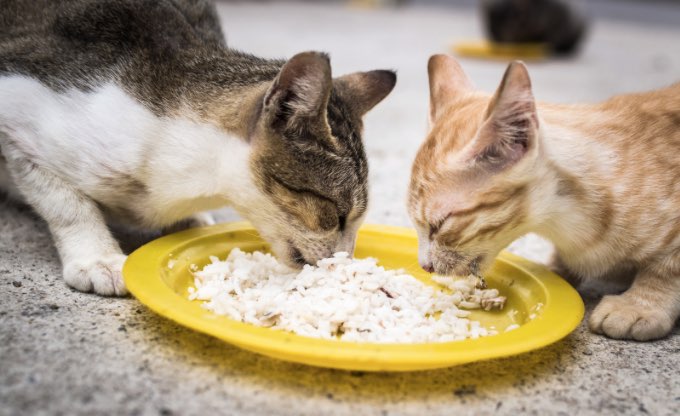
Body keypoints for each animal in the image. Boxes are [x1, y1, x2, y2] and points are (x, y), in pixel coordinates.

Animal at [0, 1, 396, 298]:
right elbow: (66, 202)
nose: (346, 260)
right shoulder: (17, 113)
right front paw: (97, 257)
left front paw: (187, 221)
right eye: (334, 213)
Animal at [410, 54, 680, 342]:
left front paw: (639, 305)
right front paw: (556, 271)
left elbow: (666, 268)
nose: (424, 266)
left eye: (439, 224)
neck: (566, 223)